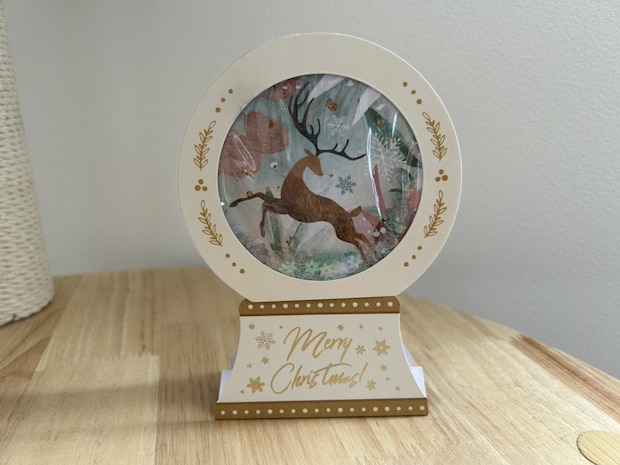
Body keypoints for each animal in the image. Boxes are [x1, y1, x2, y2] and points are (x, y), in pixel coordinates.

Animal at [229, 83, 373, 259]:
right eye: (315, 161)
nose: (321, 173)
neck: (293, 186)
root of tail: (349, 214)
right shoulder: (284, 209)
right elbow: (262, 200)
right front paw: (236, 205)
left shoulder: (286, 207)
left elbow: (264, 201)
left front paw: (260, 228)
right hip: (346, 229)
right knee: (361, 237)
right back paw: (372, 254)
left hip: (342, 230)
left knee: (358, 240)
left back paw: (367, 258)